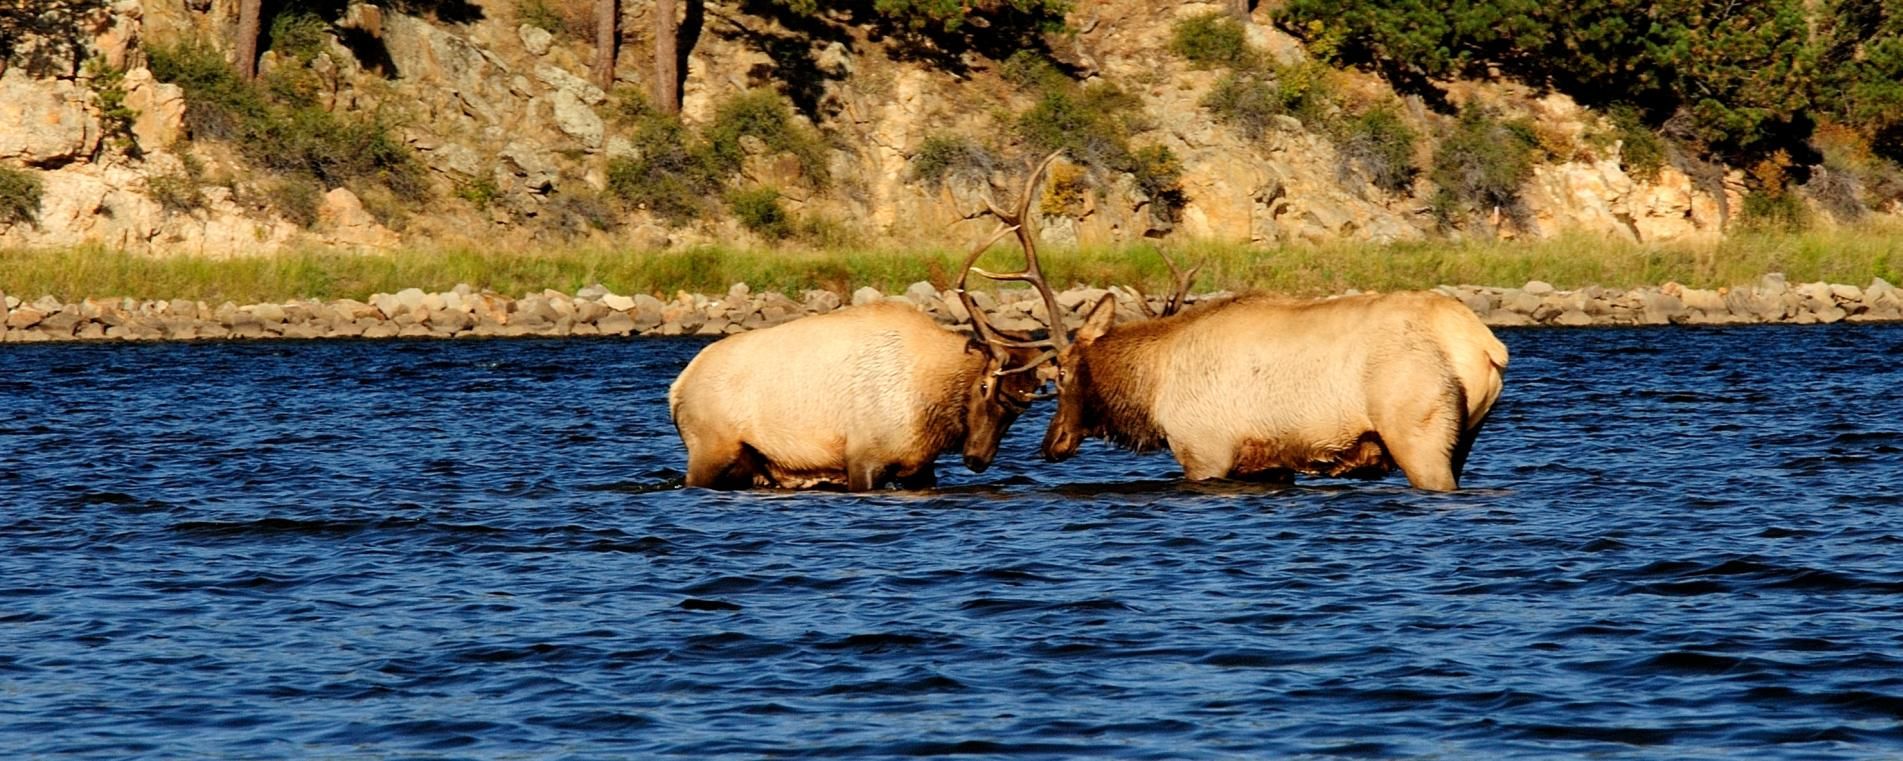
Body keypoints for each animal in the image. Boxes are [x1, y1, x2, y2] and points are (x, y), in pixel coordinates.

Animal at [668, 152, 1071, 491]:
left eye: (1024, 404)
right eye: (985, 386)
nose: (977, 459)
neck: (930, 406)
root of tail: (677, 389)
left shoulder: (921, 467)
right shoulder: (863, 458)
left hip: (753, 464)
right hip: (710, 449)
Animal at [1038, 256, 1509, 491]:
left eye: (1060, 373)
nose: (1050, 443)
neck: (1150, 389)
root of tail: (1486, 345)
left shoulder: (1203, 451)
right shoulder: (1267, 462)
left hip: (1417, 432)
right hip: (1465, 436)